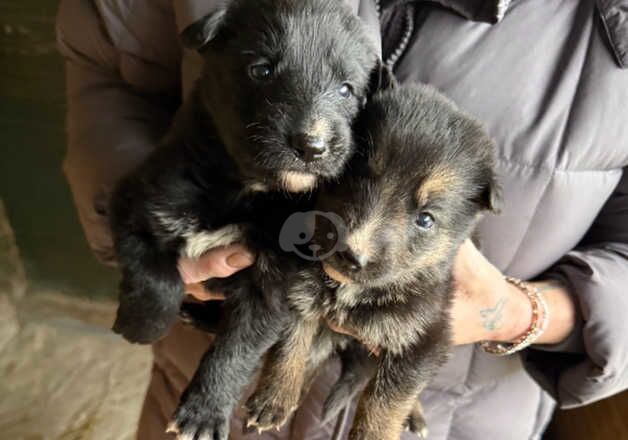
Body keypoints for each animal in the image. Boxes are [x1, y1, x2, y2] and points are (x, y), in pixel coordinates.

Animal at [108, 0, 378, 440]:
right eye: (262, 70)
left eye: (346, 89)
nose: (312, 146)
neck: (244, 190)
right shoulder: (135, 203)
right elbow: (156, 278)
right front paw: (142, 326)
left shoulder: (275, 282)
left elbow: (237, 347)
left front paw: (204, 412)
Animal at [245, 81, 500, 436]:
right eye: (355, 176)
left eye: (425, 219)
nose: (352, 254)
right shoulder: (300, 291)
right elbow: (291, 343)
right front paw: (274, 396)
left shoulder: (426, 336)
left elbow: (387, 401)